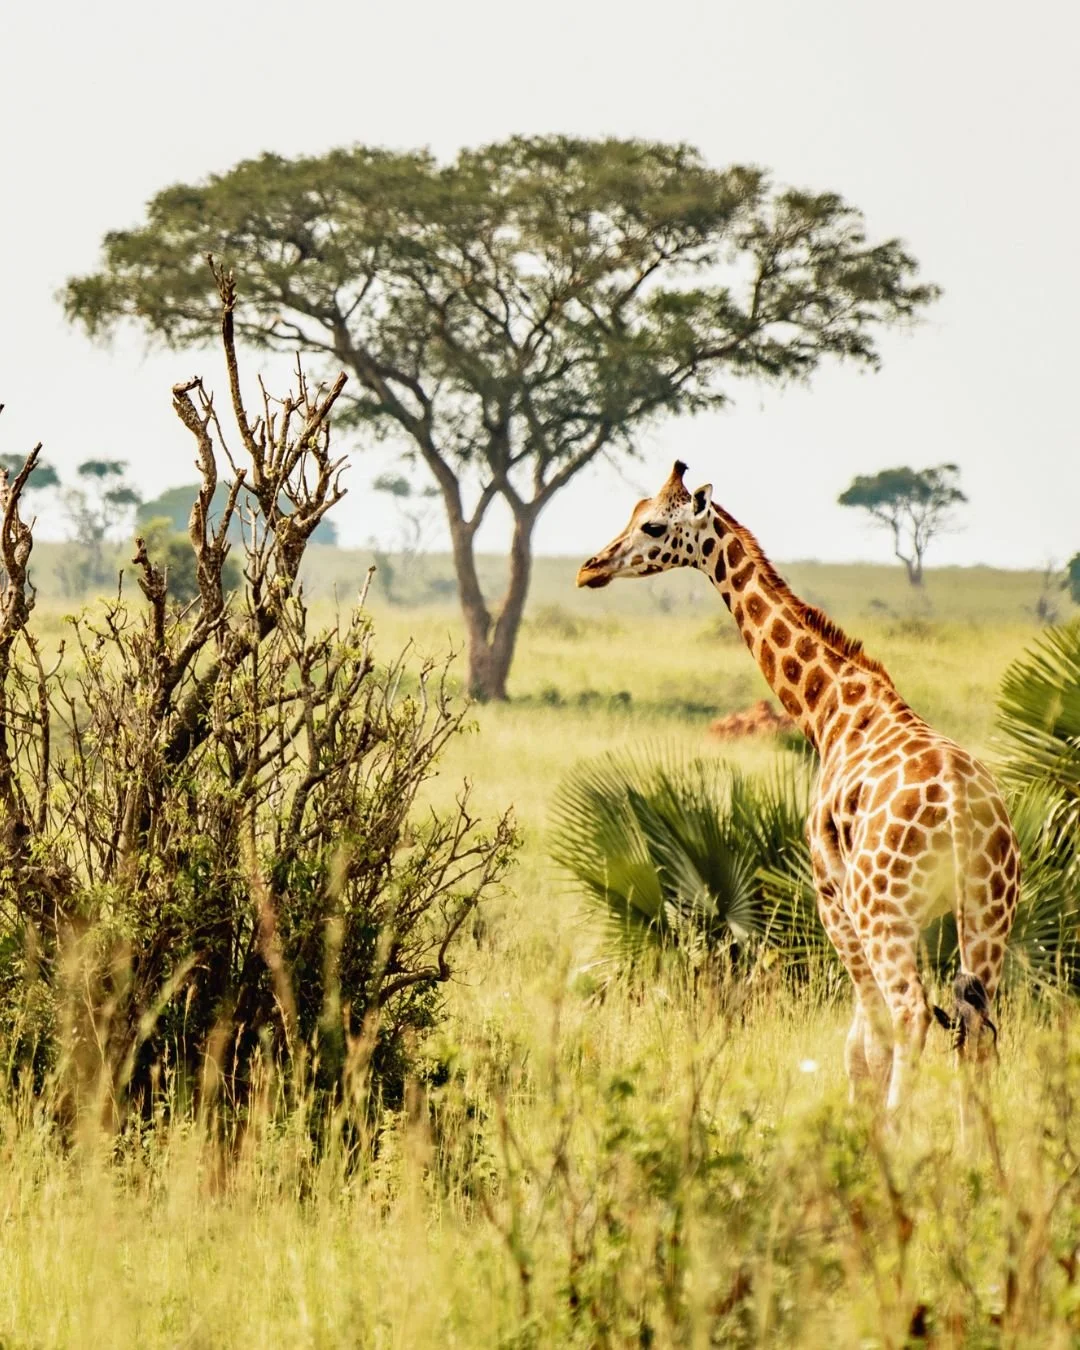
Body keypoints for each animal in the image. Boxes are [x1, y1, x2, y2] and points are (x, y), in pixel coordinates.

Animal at [576, 461, 1019, 1112]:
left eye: (653, 524)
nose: (590, 567)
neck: (831, 708)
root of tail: (964, 812)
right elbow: (870, 1041)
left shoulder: (831, 897)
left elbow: (863, 1044)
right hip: (989, 910)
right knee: (978, 1032)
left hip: (886, 911)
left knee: (912, 1014)